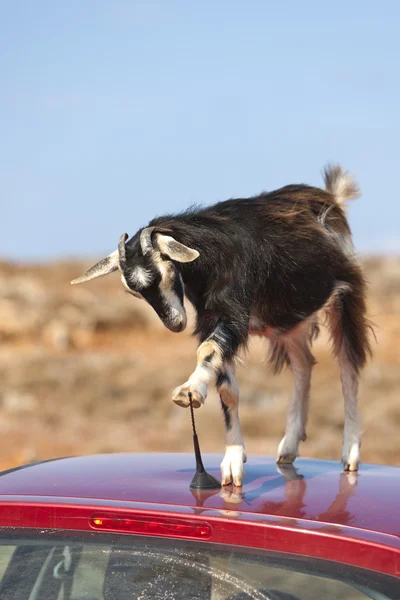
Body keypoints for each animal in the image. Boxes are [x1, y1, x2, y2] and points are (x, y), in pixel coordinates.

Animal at [71, 164, 372, 488]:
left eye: (165, 270)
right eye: (133, 292)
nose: (175, 323)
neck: (213, 254)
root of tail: (331, 197)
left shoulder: (232, 318)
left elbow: (207, 352)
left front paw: (189, 391)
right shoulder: (213, 320)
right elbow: (227, 389)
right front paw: (232, 459)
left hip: (344, 296)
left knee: (348, 367)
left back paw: (350, 451)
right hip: (288, 321)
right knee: (304, 365)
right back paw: (289, 446)